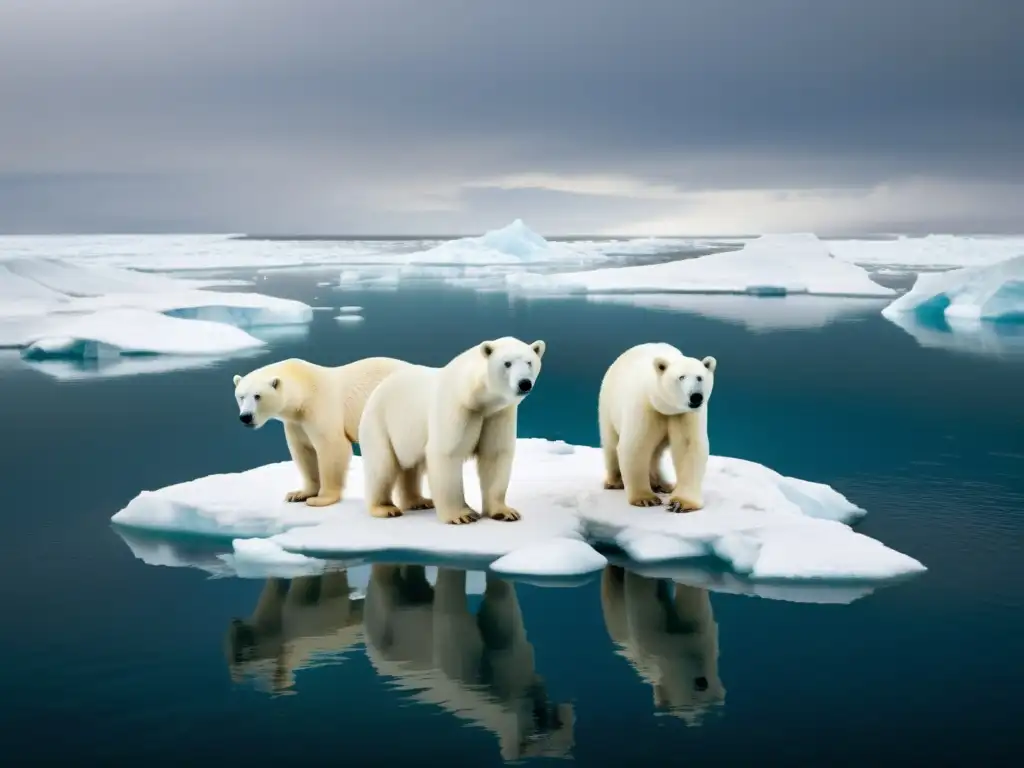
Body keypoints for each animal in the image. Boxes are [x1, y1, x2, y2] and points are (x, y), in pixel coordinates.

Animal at [232, 356, 414, 507]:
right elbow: (304, 452)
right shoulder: (296, 422)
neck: (304, 387)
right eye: (241, 396)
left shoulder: (320, 408)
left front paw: (321, 499)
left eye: (257, 396)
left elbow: (332, 447)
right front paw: (299, 494)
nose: (245, 417)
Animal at [358, 336, 545, 525]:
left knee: (411, 466)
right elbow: (447, 453)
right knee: (383, 465)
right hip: (380, 422)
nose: (524, 383)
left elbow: (495, 455)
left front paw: (505, 512)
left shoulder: (498, 414)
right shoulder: (457, 407)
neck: (476, 397)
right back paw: (386, 508)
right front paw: (462, 515)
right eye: (507, 363)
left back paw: (419, 501)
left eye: (529, 362)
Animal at [363, 564, 575, 761]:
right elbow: (449, 605)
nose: (563, 712)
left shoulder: (505, 657)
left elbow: (501, 613)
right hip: (385, 633)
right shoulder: (457, 663)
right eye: (537, 735)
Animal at [598, 342, 716, 512]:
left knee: (655, 453)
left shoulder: (684, 415)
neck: (664, 405)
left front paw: (681, 503)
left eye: (700, 377)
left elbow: (689, 447)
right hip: (608, 406)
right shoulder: (644, 406)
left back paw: (662, 484)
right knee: (611, 443)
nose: (696, 397)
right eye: (681, 377)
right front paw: (646, 499)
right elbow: (636, 445)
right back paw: (615, 481)